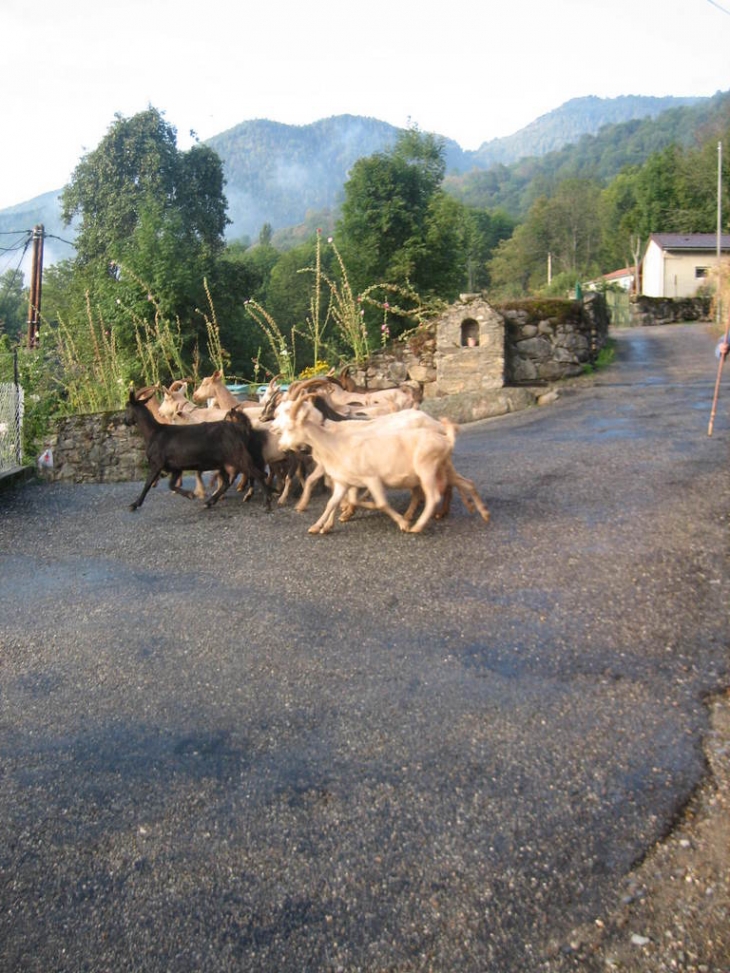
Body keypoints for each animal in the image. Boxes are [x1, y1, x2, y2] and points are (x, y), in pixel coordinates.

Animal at [123, 388, 272, 512]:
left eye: (127, 406)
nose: (124, 420)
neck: (154, 432)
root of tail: (241, 428)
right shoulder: (176, 467)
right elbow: (171, 485)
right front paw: (190, 494)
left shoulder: (157, 463)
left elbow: (147, 484)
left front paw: (134, 504)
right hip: (224, 462)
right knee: (227, 482)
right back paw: (209, 502)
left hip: (238, 456)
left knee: (259, 474)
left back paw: (267, 503)